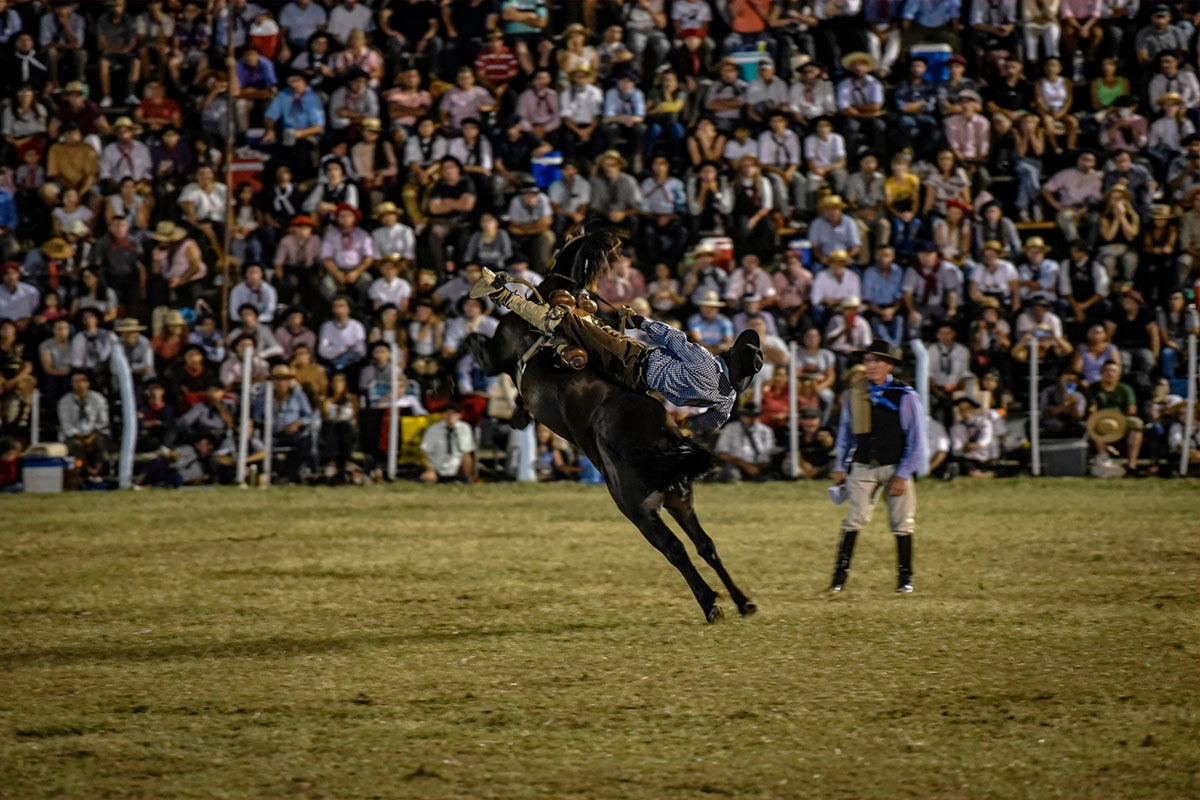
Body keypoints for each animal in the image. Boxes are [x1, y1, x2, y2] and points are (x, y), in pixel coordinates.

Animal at [465, 226, 748, 623]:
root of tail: (666, 441)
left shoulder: (499, 352)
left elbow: (481, 349)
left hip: (640, 509)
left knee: (676, 549)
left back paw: (711, 604)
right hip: (680, 500)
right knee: (705, 544)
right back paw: (742, 600)